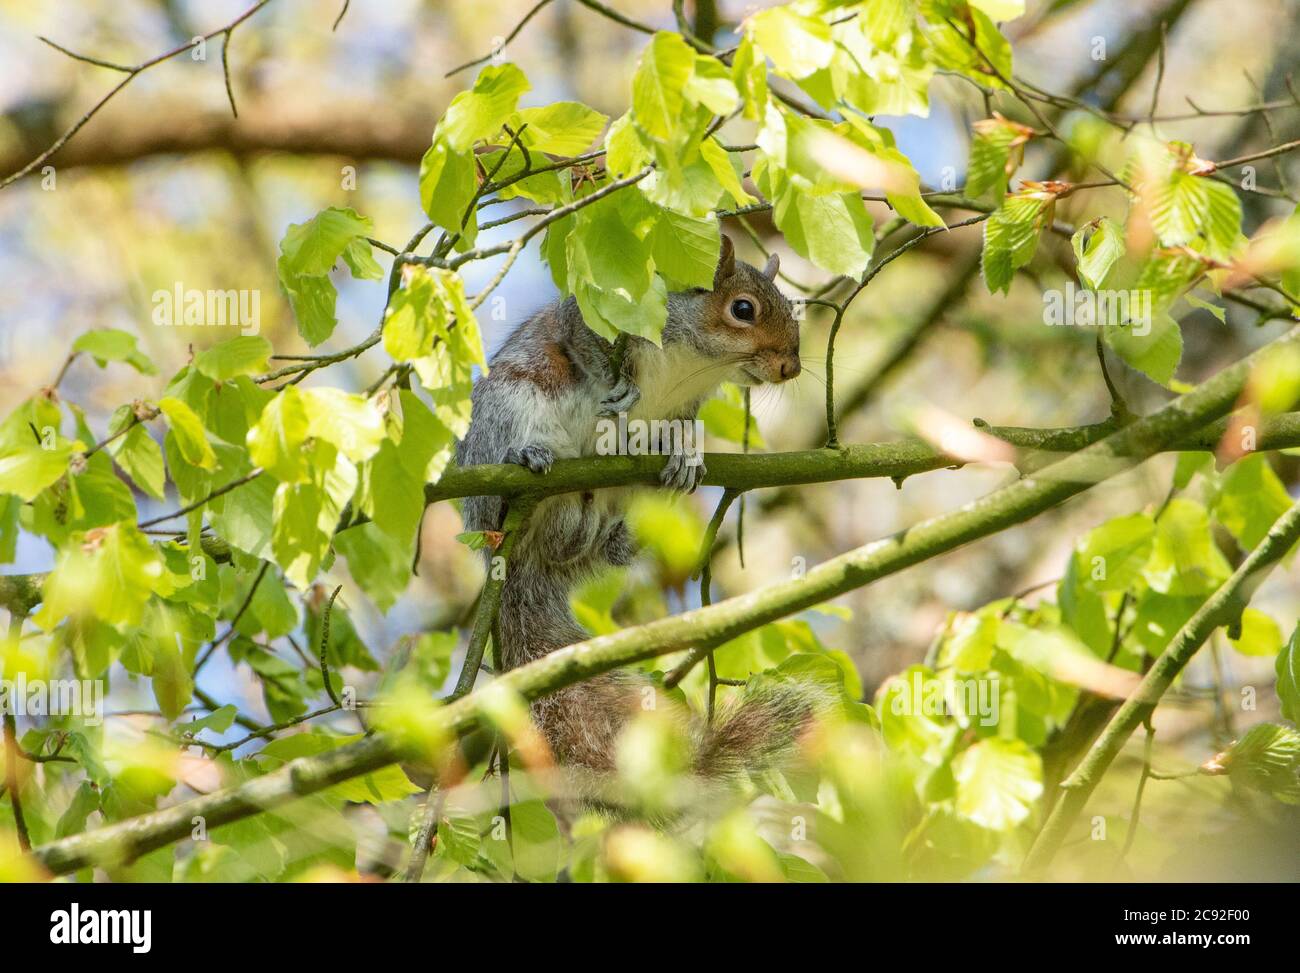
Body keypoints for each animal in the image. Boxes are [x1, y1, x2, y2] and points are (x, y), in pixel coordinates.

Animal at [460, 238, 821, 790]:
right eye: (743, 309)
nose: (790, 368)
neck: (694, 362)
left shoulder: (684, 408)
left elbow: (679, 429)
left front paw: (685, 454)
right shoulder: (590, 323)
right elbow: (586, 346)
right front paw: (624, 387)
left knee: (610, 542)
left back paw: (622, 528)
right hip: (508, 409)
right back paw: (525, 460)